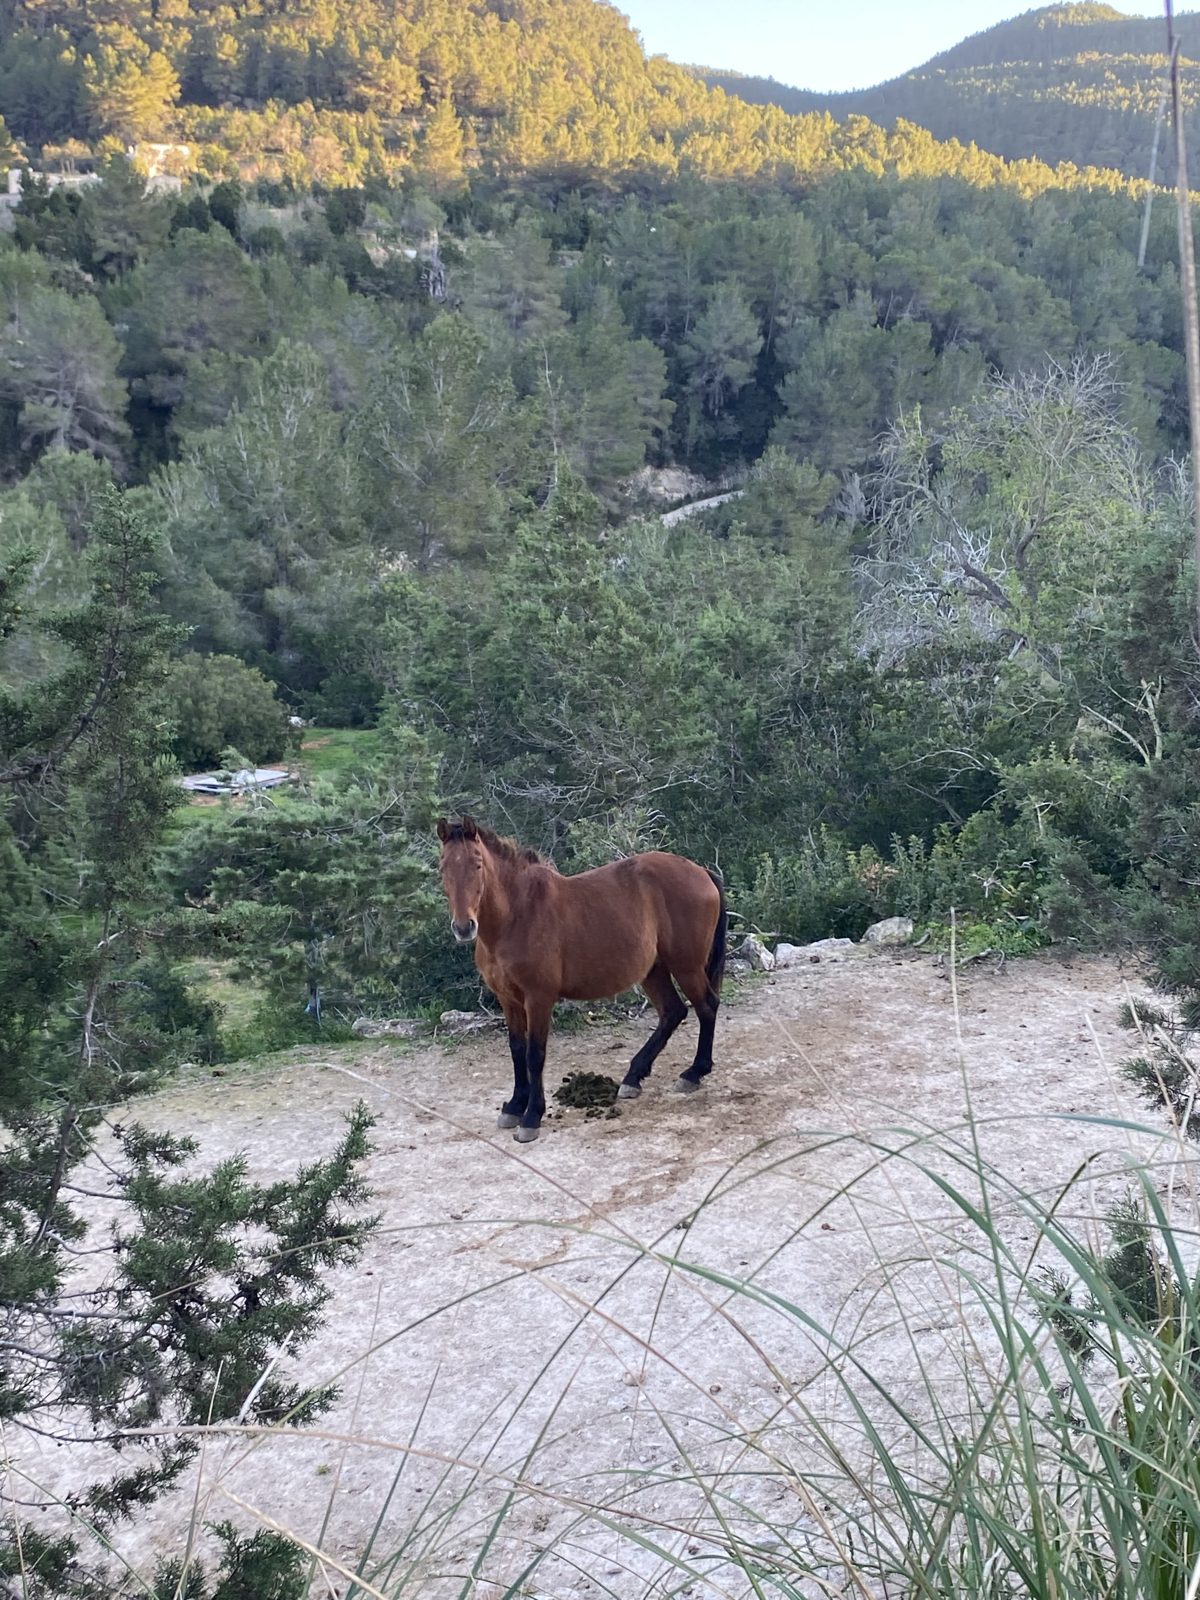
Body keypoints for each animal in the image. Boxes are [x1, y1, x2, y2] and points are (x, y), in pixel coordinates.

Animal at [435, 818, 727, 1143]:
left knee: (706, 1007)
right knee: (673, 1012)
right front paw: (514, 1106)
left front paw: (531, 1117)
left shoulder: (538, 998)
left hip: (686, 967)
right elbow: (517, 1050)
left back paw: (694, 1073)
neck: (517, 914)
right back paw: (633, 1077)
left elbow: (535, 1054)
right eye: (443, 866)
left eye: (477, 864)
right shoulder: (507, 999)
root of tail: (701, 871)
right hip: (654, 970)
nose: (464, 927)